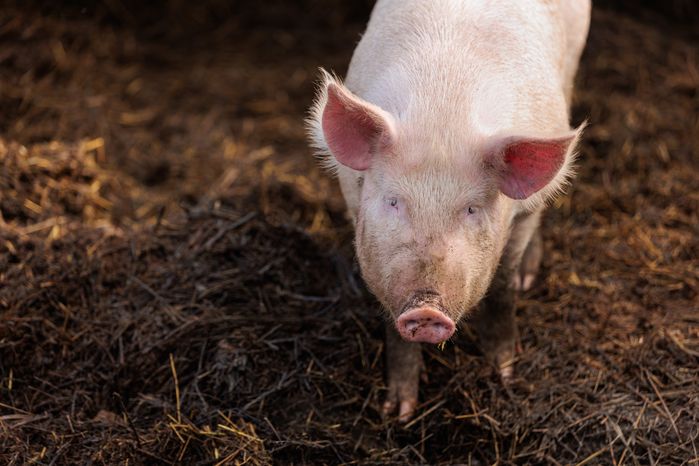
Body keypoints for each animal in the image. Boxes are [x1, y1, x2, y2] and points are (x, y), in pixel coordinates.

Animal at [308, 0, 590, 420]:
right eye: (394, 201)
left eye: (471, 208)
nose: (426, 310)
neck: (443, 112)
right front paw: (399, 412)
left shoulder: (522, 215)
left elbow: (503, 285)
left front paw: (503, 373)